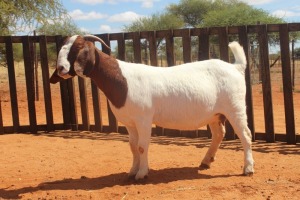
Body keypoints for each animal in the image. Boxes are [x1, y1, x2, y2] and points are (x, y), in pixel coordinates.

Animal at [50, 34, 254, 180]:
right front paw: (132, 171)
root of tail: (236, 67)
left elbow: (142, 146)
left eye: (78, 48)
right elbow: (132, 146)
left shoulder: (143, 119)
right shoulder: (130, 123)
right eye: (62, 47)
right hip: (214, 113)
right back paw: (206, 162)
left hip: (235, 107)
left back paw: (248, 168)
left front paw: (142, 173)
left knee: (245, 135)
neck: (122, 79)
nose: (60, 69)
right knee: (219, 134)